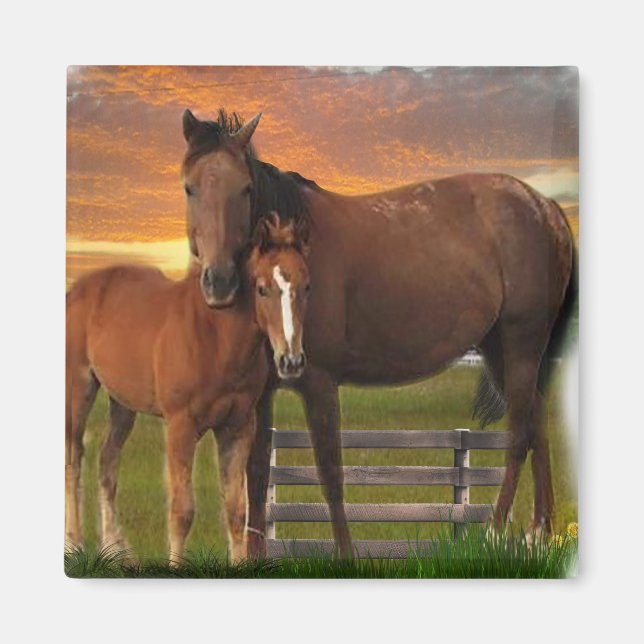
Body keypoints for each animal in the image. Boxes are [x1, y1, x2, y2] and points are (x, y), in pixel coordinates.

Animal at [65, 212, 311, 561]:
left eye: (306, 286)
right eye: (262, 289)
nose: (291, 360)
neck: (216, 338)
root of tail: (78, 290)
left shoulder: (238, 427)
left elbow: (236, 510)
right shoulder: (180, 425)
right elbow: (182, 510)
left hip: (122, 403)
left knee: (107, 461)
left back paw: (115, 549)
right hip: (78, 389)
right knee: (73, 459)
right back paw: (73, 545)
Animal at [180, 108, 577, 558]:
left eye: (245, 189)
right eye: (190, 187)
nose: (220, 282)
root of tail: (546, 207)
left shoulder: (319, 382)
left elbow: (330, 471)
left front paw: (346, 556)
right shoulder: (261, 395)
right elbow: (257, 474)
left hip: (521, 342)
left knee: (520, 434)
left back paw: (496, 531)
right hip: (500, 351)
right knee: (536, 420)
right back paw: (539, 533)